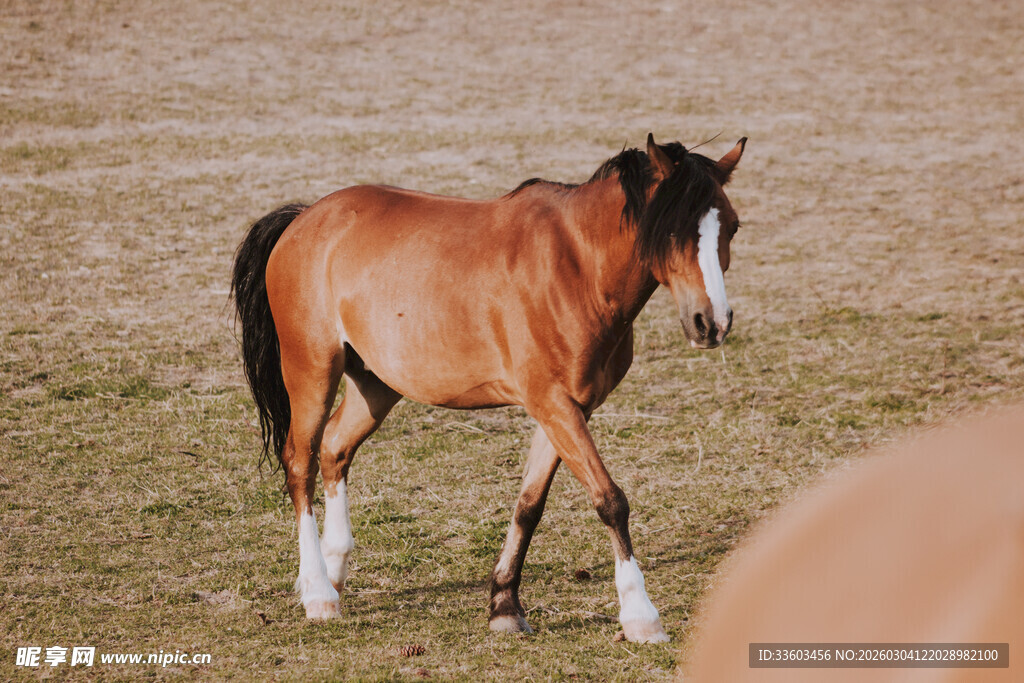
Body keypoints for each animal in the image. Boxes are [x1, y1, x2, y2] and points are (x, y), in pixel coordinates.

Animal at [231, 133, 746, 643]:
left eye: (732, 228)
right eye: (672, 231)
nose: (712, 323)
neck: (576, 267)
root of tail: (305, 219)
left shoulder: (567, 409)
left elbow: (529, 506)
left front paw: (504, 605)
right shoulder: (553, 404)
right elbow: (610, 501)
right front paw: (640, 615)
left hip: (375, 385)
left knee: (335, 449)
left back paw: (332, 568)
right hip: (312, 371)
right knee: (300, 463)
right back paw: (318, 592)